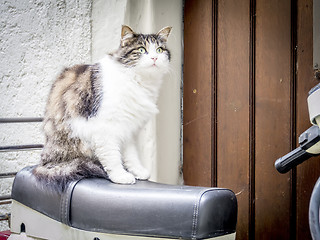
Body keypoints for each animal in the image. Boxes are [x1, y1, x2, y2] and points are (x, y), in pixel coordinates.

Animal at [33, 25, 171, 191]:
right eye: (142, 50)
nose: (154, 58)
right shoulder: (105, 127)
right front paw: (120, 176)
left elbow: (131, 155)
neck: (139, 81)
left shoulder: (128, 129)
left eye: (159, 50)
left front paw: (137, 171)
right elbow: (112, 156)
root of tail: (43, 163)